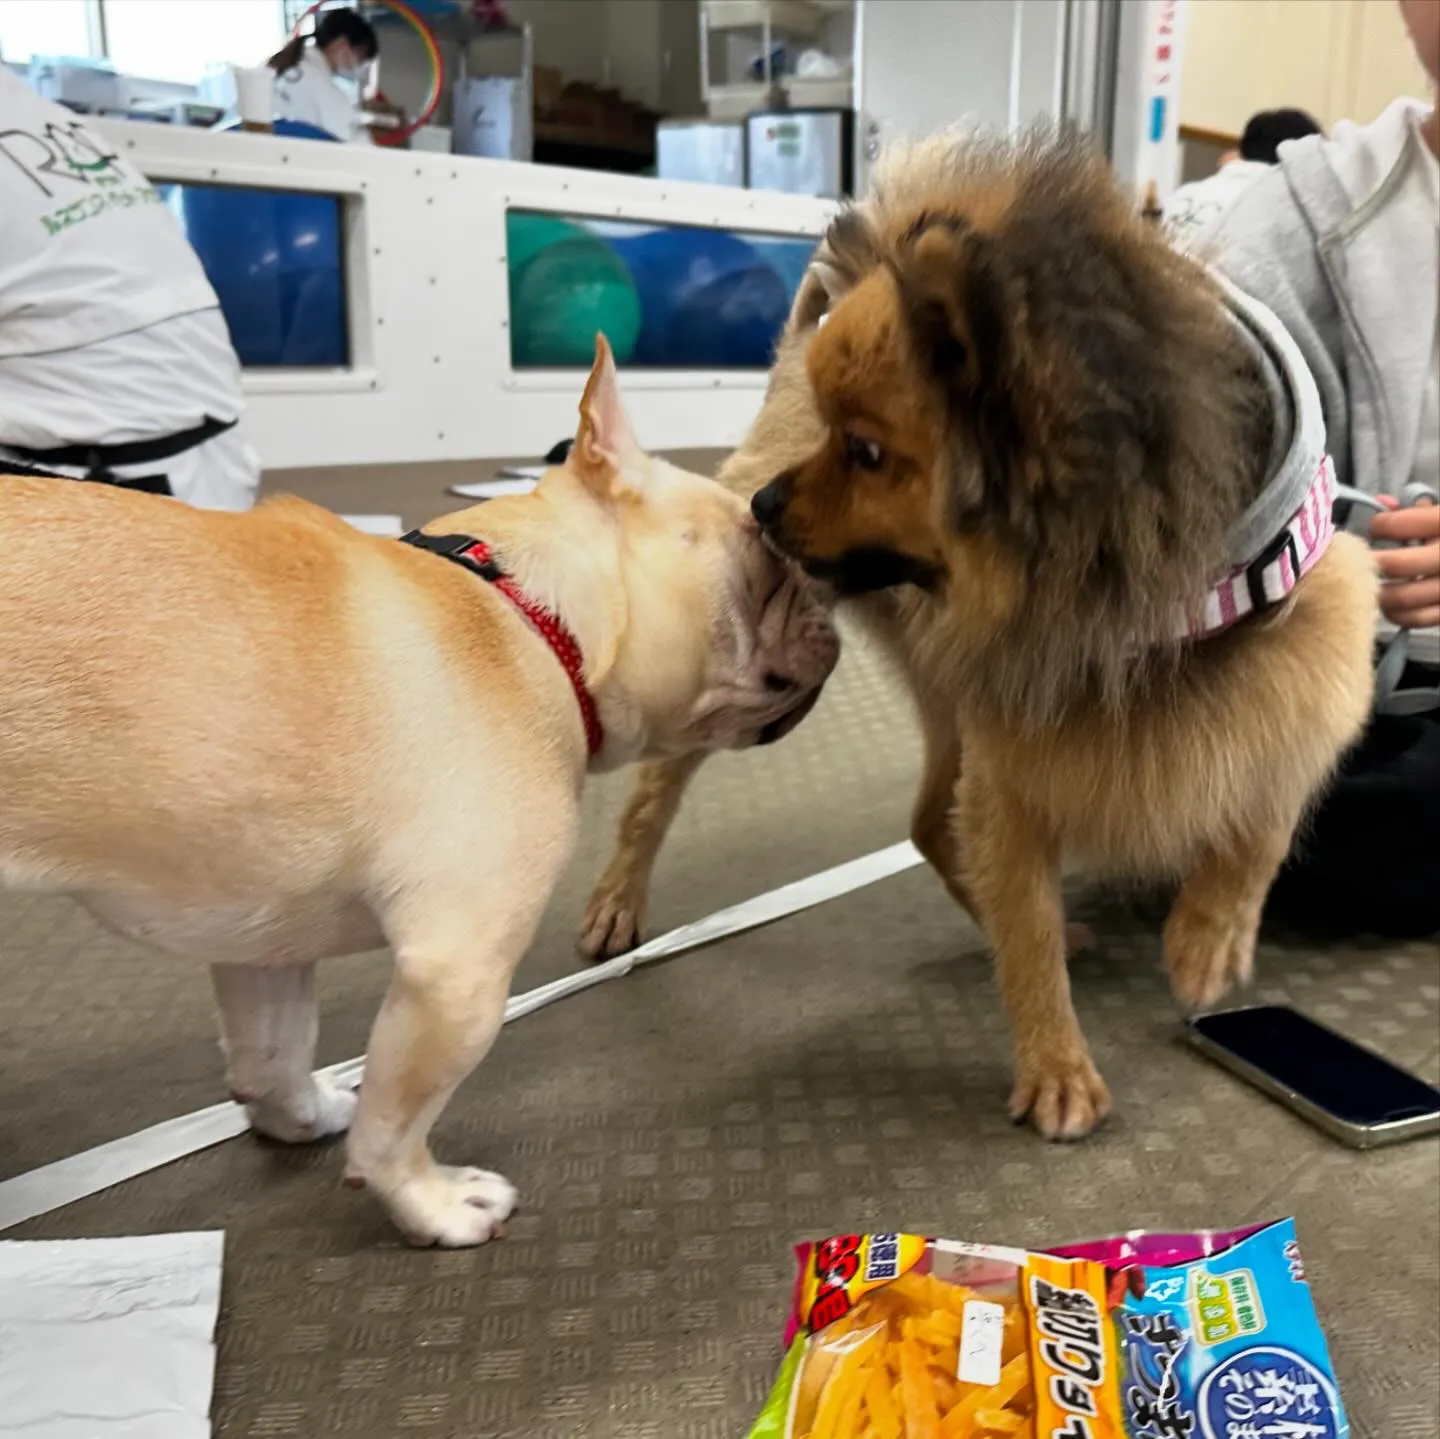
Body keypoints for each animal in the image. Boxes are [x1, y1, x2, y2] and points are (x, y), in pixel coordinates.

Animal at [578, 126, 1376, 1135]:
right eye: (836, 437)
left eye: (866, 451)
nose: (765, 507)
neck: (1138, 603)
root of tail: (795, 346)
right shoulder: (1016, 769)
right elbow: (1025, 931)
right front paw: (1057, 1064)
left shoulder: (1316, 648)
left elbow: (1268, 808)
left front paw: (1209, 937)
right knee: (663, 786)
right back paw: (618, 895)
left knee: (929, 820)